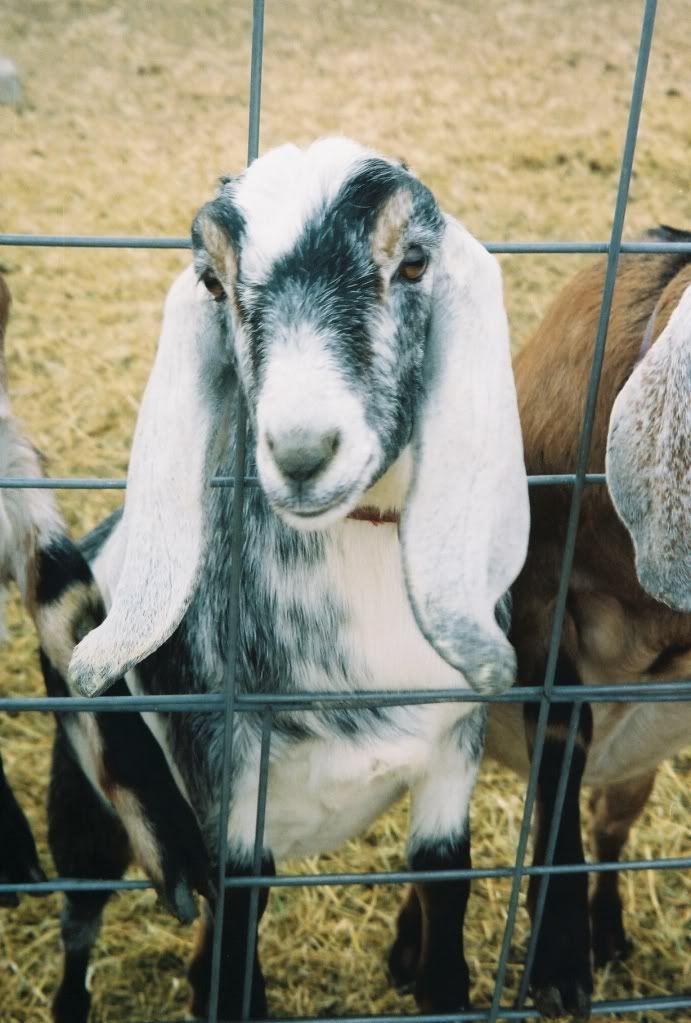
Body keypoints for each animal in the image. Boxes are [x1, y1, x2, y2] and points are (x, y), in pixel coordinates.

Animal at [53, 136, 530, 1020]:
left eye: (414, 263)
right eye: (213, 282)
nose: (303, 452)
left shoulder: (453, 752)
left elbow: (444, 892)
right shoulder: (231, 796)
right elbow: (235, 947)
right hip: (88, 792)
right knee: (81, 914)